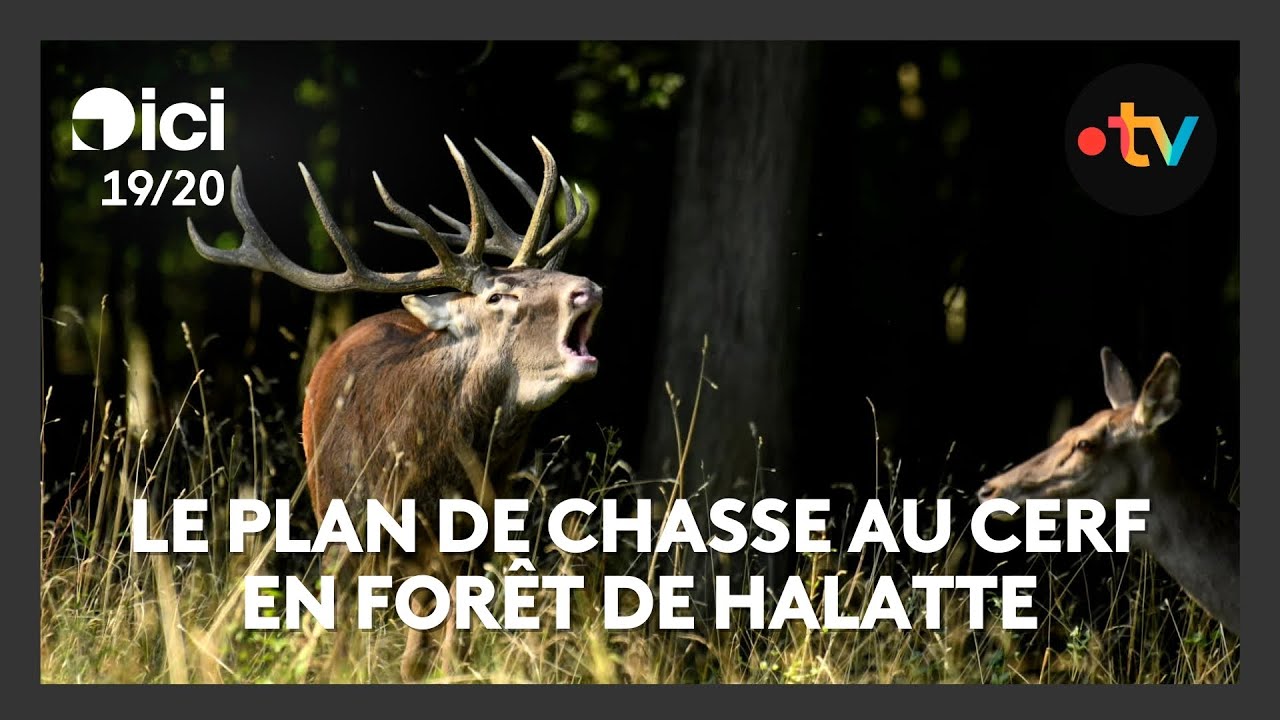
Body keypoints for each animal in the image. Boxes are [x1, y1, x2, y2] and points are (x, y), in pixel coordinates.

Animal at [186, 135, 601, 681]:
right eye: (498, 296)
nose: (587, 288)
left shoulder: (478, 548)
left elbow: (449, 654)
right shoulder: (346, 532)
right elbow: (341, 646)